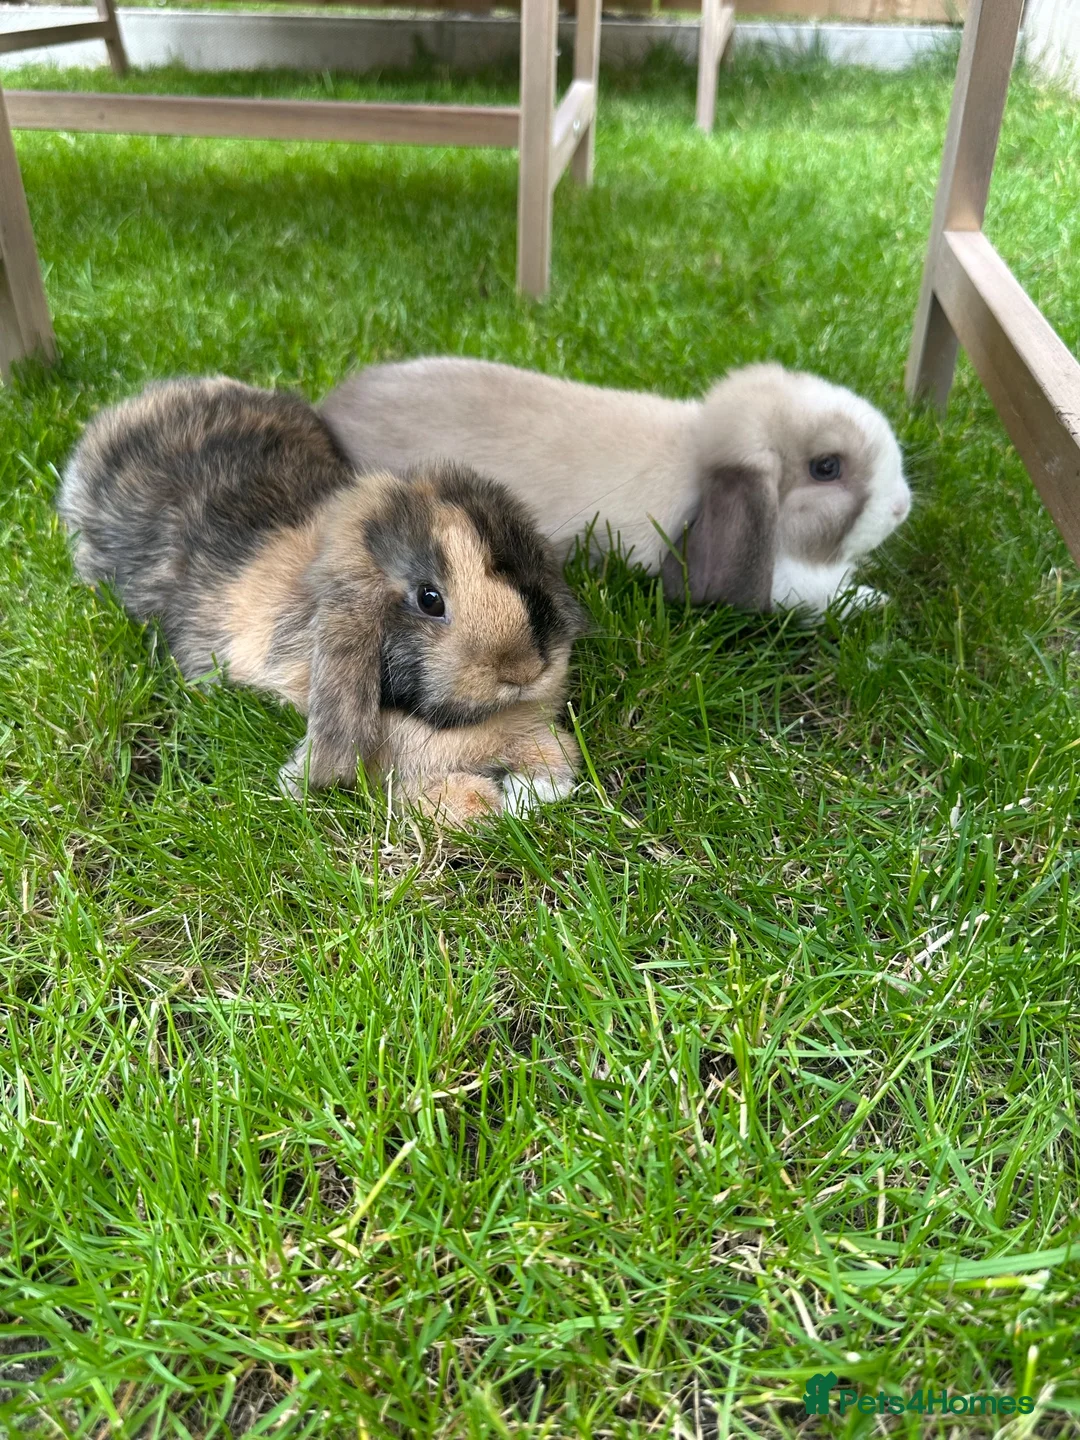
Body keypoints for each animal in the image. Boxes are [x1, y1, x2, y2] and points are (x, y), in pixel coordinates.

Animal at [57, 377, 585, 825]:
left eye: (522, 568)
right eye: (429, 599)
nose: (523, 671)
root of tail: (144, 401)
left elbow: (554, 754)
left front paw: (539, 788)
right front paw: (489, 804)